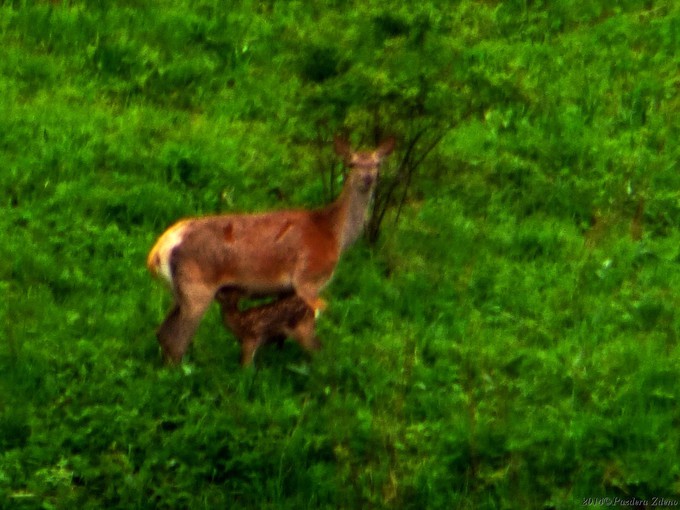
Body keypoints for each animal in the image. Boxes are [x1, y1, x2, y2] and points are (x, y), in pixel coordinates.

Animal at [146, 135, 396, 362]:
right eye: (352, 163)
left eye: (377, 164)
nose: (368, 178)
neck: (333, 234)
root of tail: (158, 250)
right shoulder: (308, 278)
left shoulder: (285, 289)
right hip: (197, 288)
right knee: (177, 341)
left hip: (179, 292)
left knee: (162, 332)